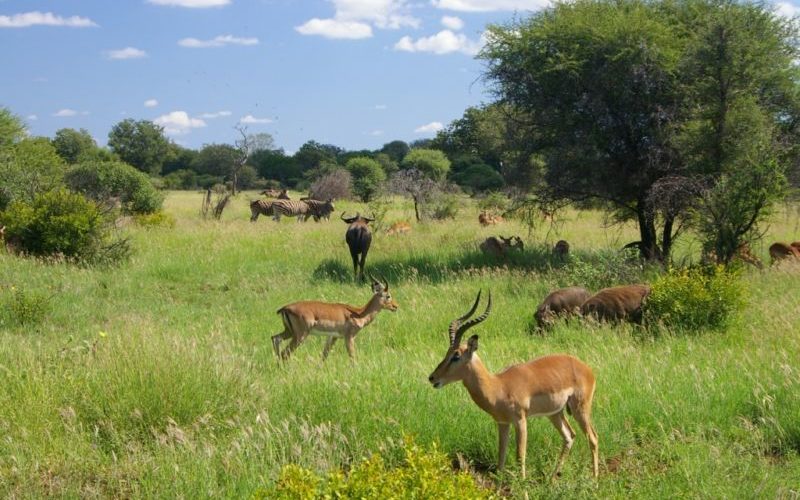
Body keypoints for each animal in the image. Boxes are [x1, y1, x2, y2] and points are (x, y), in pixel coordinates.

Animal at [428, 292, 596, 478]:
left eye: (456, 356)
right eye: (447, 353)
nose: (432, 378)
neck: (498, 386)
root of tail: (585, 368)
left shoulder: (520, 421)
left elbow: (519, 456)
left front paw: (522, 483)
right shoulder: (502, 423)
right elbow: (501, 457)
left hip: (580, 408)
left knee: (593, 438)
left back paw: (594, 479)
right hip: (555, 413)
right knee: (569, 436)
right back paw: (552, 478)